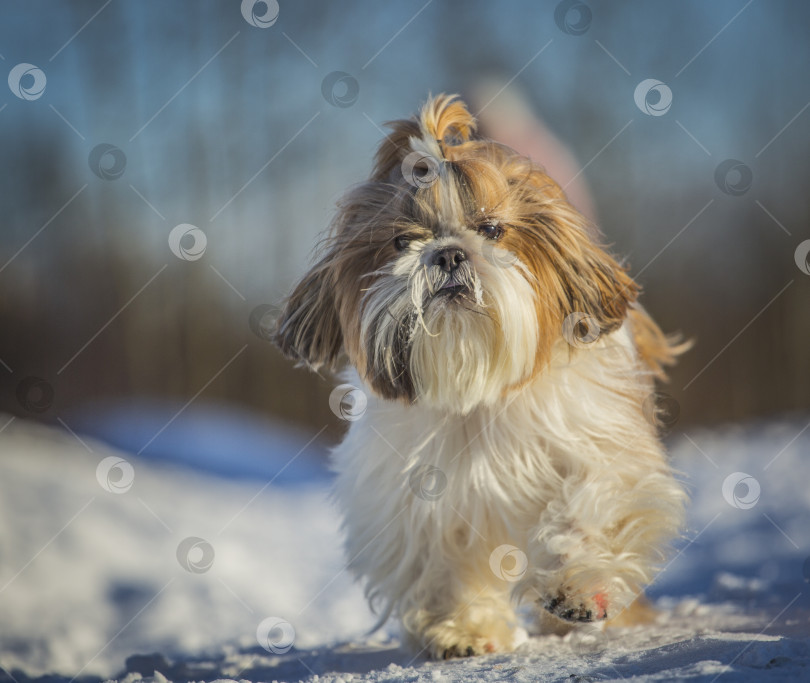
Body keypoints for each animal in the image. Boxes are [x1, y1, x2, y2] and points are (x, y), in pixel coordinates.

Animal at [274, 95, 684, 656]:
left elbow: (590, 508)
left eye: (491, 229)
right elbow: (440, 565)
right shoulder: (415, 500)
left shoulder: (602, 449)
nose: (448, 252)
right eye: (401, 240)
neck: (476, 390)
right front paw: (461, 629)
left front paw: (578, 587)